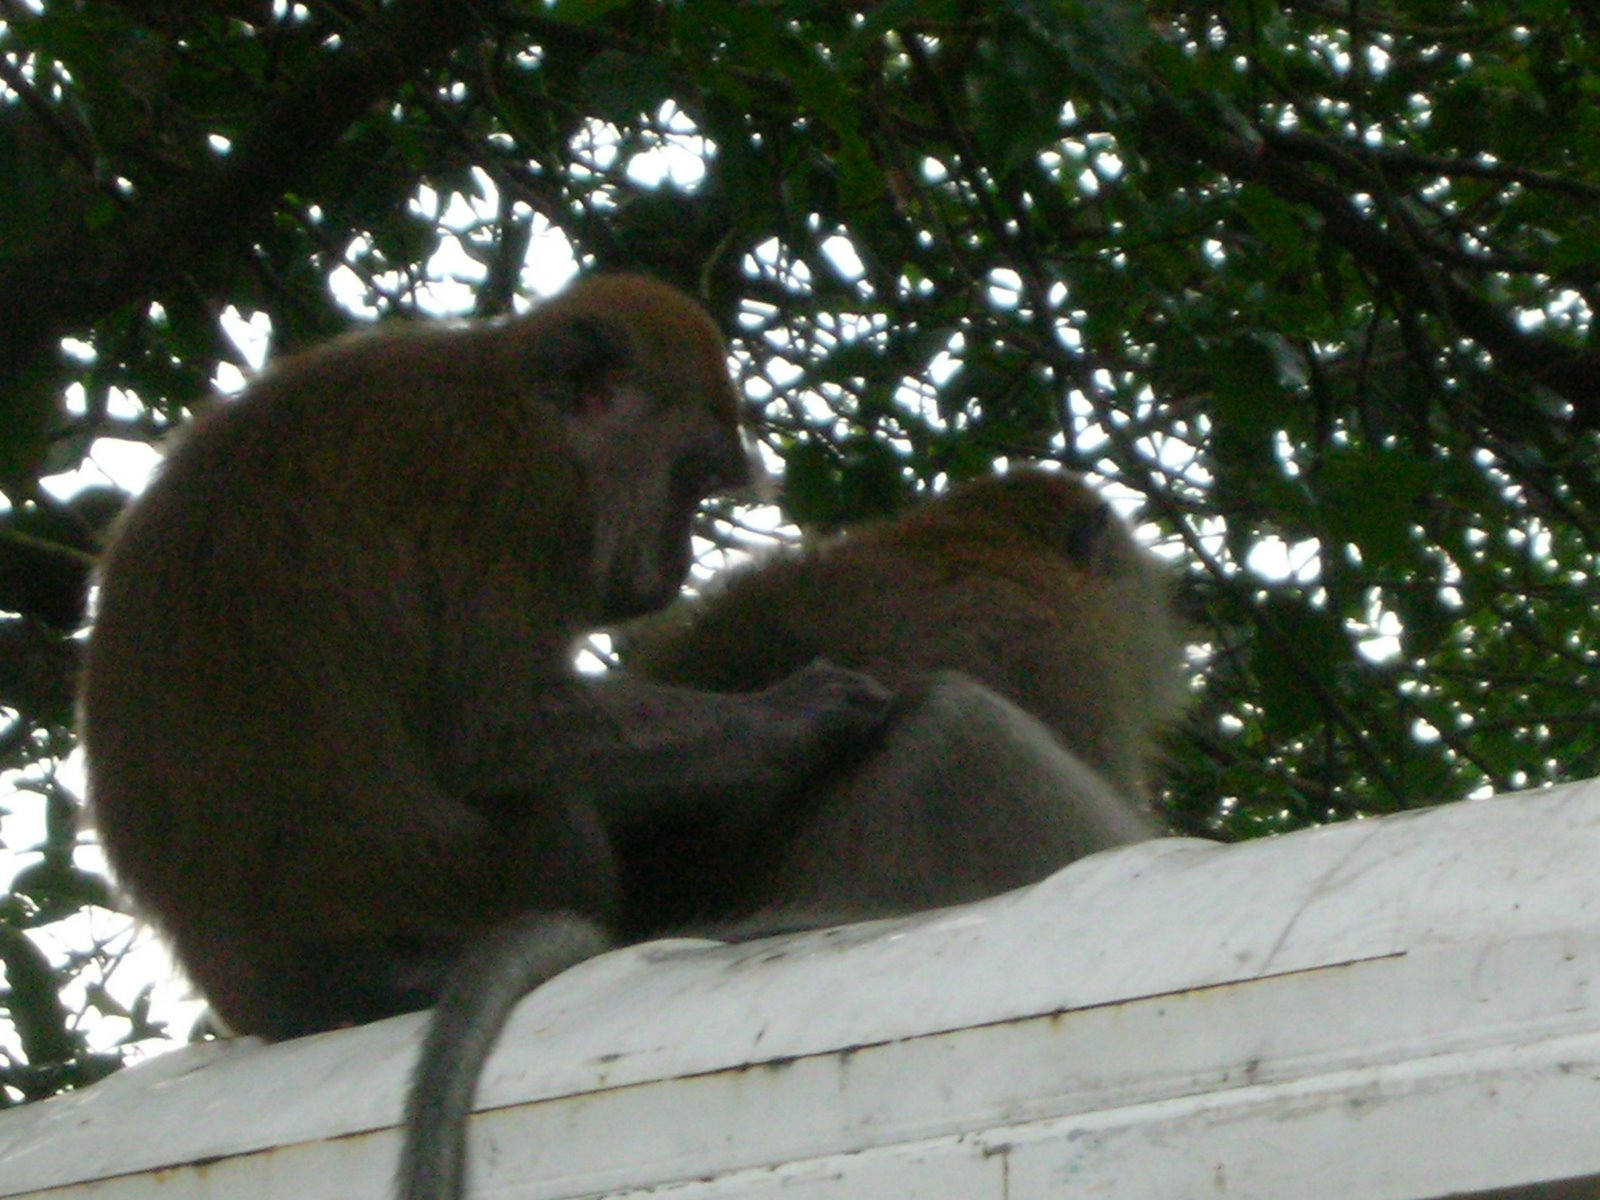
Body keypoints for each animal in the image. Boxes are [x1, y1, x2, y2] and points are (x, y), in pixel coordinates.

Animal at [78, 272, 894, 1044]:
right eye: (692, 482)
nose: (679, 561)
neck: (511, 388)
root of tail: (273, 996)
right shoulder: (518, 493)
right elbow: (497, 728)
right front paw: (788, 716)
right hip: (471, 874)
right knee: (543, 795)